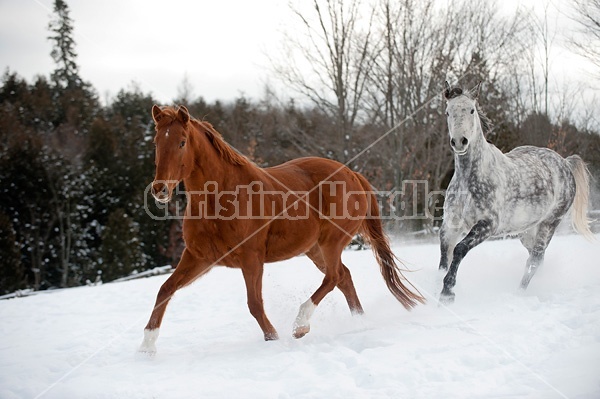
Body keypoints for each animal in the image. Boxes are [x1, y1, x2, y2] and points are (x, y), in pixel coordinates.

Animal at [139, 104, 426, 354]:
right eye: (156, 142)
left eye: (182, 142)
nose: (160, 189)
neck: (222, 197)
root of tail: (353, 174)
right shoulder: (199, 258)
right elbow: (164, 290)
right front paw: (146, 347)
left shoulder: (251, 258)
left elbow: (255, 304)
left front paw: (273, 339)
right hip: (314, 249)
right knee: (343, 277)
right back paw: (358, 322)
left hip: (331, 242)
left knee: (334, 277)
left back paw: (301, 325)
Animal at [438, 83, 592, 304]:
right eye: (448, 112)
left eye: (472, 110)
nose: (460, 141)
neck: (469, 179)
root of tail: (564, 162)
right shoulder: (450, 225)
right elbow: (444, 256)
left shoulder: (488, 225)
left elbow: (459, 249)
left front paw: (447, 292)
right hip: (526, 231)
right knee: (537, 258)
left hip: (549, 224)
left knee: (535, 259)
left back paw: (519, 294)